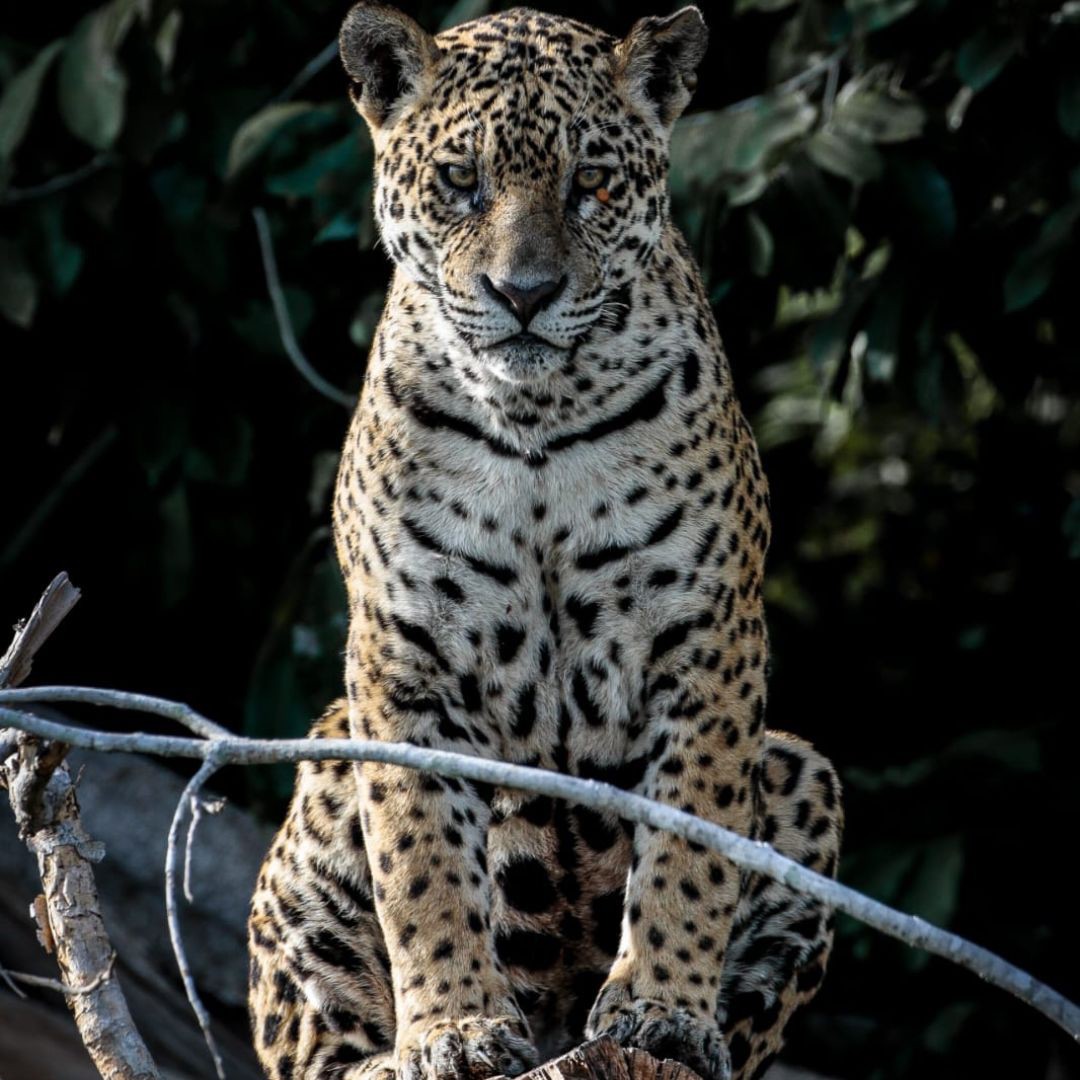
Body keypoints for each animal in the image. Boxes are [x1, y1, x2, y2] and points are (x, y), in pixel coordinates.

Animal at [247, 5, 844, 1080]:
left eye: (591, 182)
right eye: (460, 181)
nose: (522, 291)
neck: (535, 416)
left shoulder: (710, 641)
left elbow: (691, 847)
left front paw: (662, 1007)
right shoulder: (402, 659)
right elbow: (421, 862)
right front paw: (452, 1030)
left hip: (802, 771)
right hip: (322, 764)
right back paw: (385, 1057)